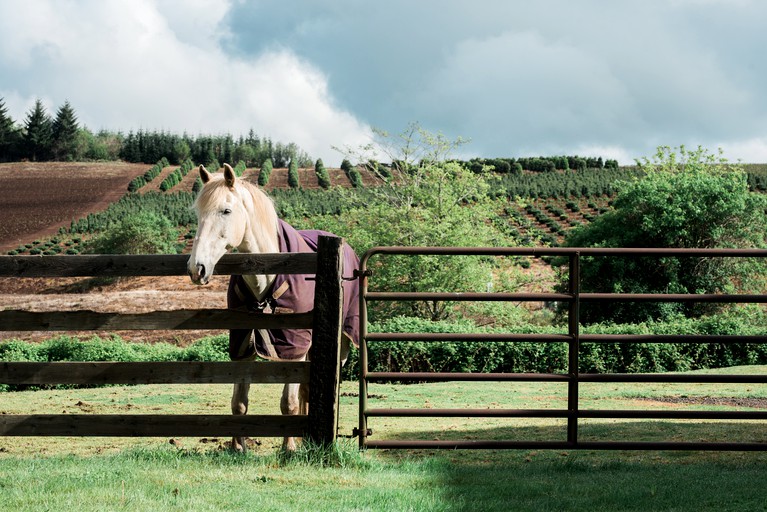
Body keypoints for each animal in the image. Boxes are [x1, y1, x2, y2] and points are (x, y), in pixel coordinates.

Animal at [190, 162, 362, 450]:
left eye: (226, 210)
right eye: (198, 212)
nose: (196, 268)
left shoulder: (294, 348)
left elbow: (288, 403)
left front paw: (288, 448)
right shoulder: (243, 343)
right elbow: (239, 403)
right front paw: (238, 447)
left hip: (337, 347)